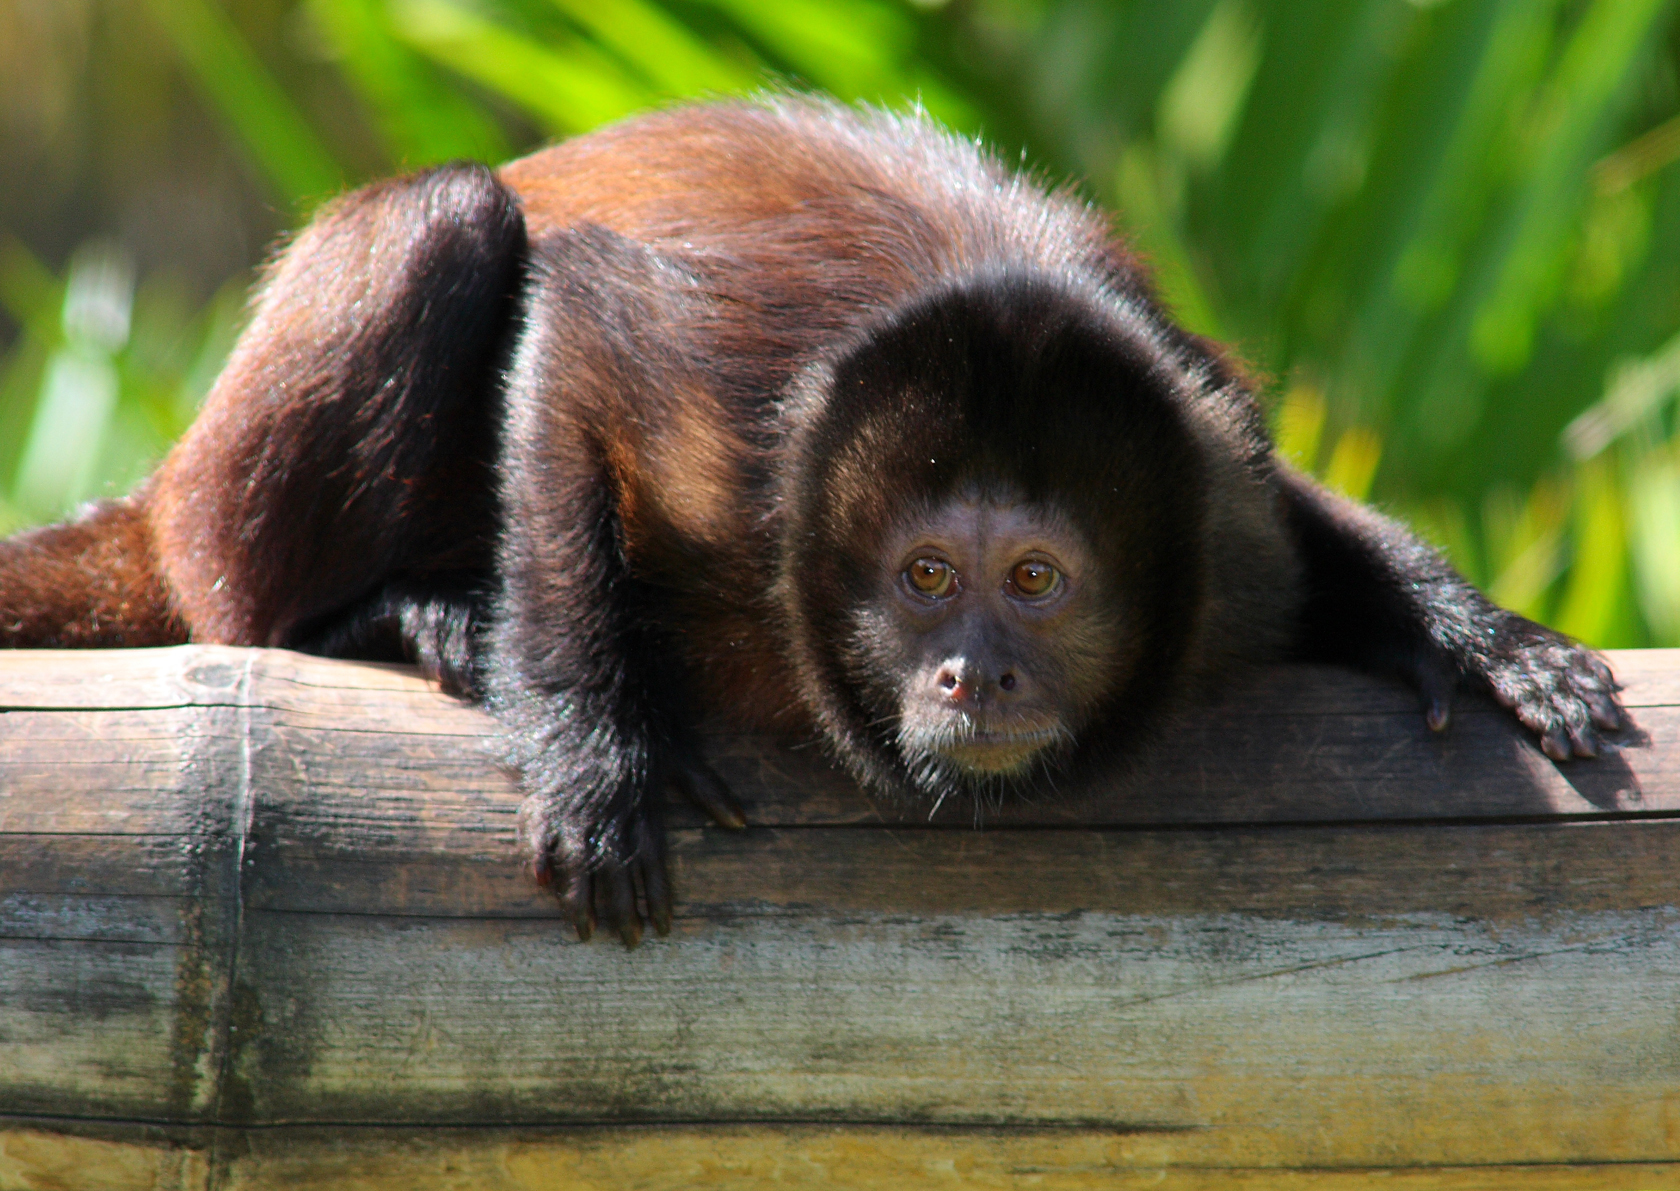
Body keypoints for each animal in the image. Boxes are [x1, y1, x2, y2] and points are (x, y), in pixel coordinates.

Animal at [3, 95, 1626, 940]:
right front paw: (593, 745)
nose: (976, 673)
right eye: (926, 577)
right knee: (450, 221)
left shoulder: (1210, 483)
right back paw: (387, 616)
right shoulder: (740, 442)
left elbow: (1284, 502)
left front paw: (1475, 636)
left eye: (1036, 581)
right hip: (223, 513)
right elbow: (580, 331)